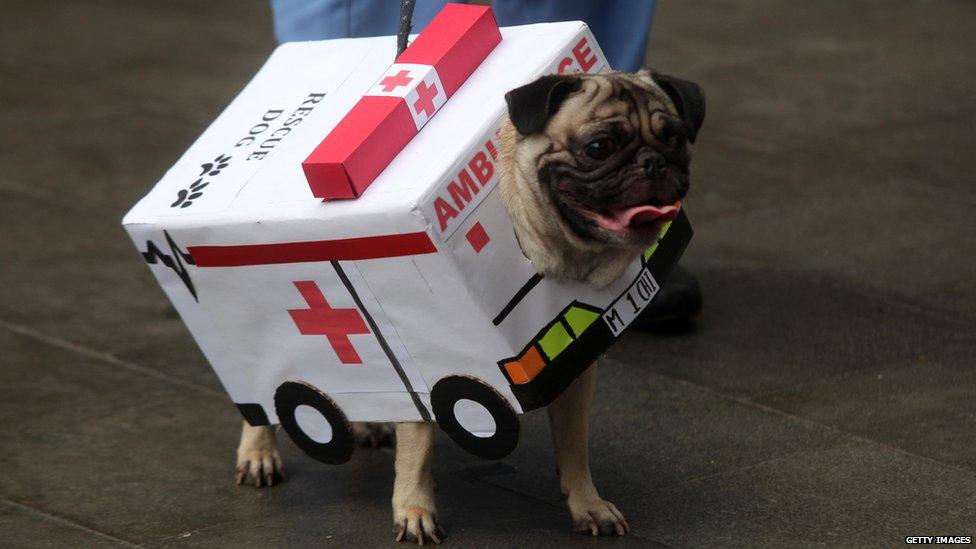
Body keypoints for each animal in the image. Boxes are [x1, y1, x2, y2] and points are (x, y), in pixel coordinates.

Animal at [239, 69, 704, 544]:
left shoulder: (572, 369)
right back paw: (259, 452)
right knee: (259, 395)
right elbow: (419, 444)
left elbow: (574, 444)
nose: (653, 162)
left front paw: (586, 503)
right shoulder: (432, 362)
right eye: (598, 148)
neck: (560, 252)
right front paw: (414, 508)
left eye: (675, 137)